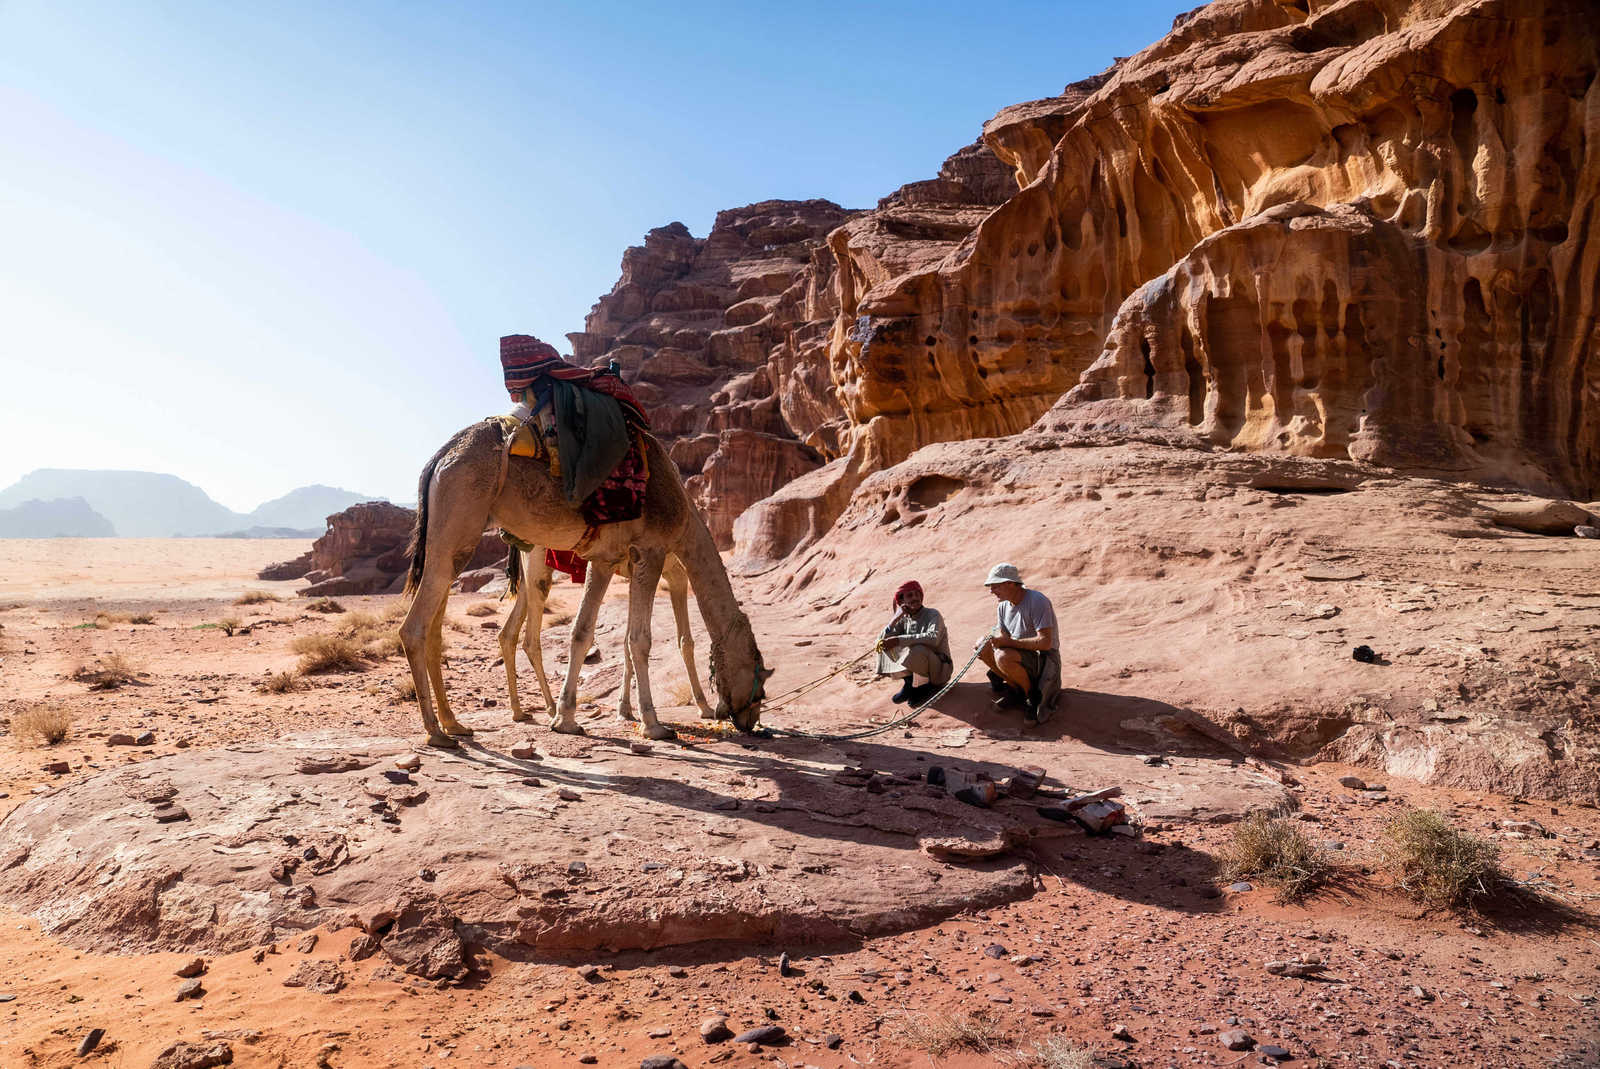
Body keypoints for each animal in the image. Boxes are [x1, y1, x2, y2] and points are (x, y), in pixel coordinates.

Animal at [496, 547, 716, 723]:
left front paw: (625, 709)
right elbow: (683, 640)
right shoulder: (669, 570)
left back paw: (519, 712)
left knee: (507, 633)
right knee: (530, 639)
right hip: (537, 564)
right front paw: (704, 707)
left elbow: (632, 643)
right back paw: (551, 708)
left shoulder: (654, 571)